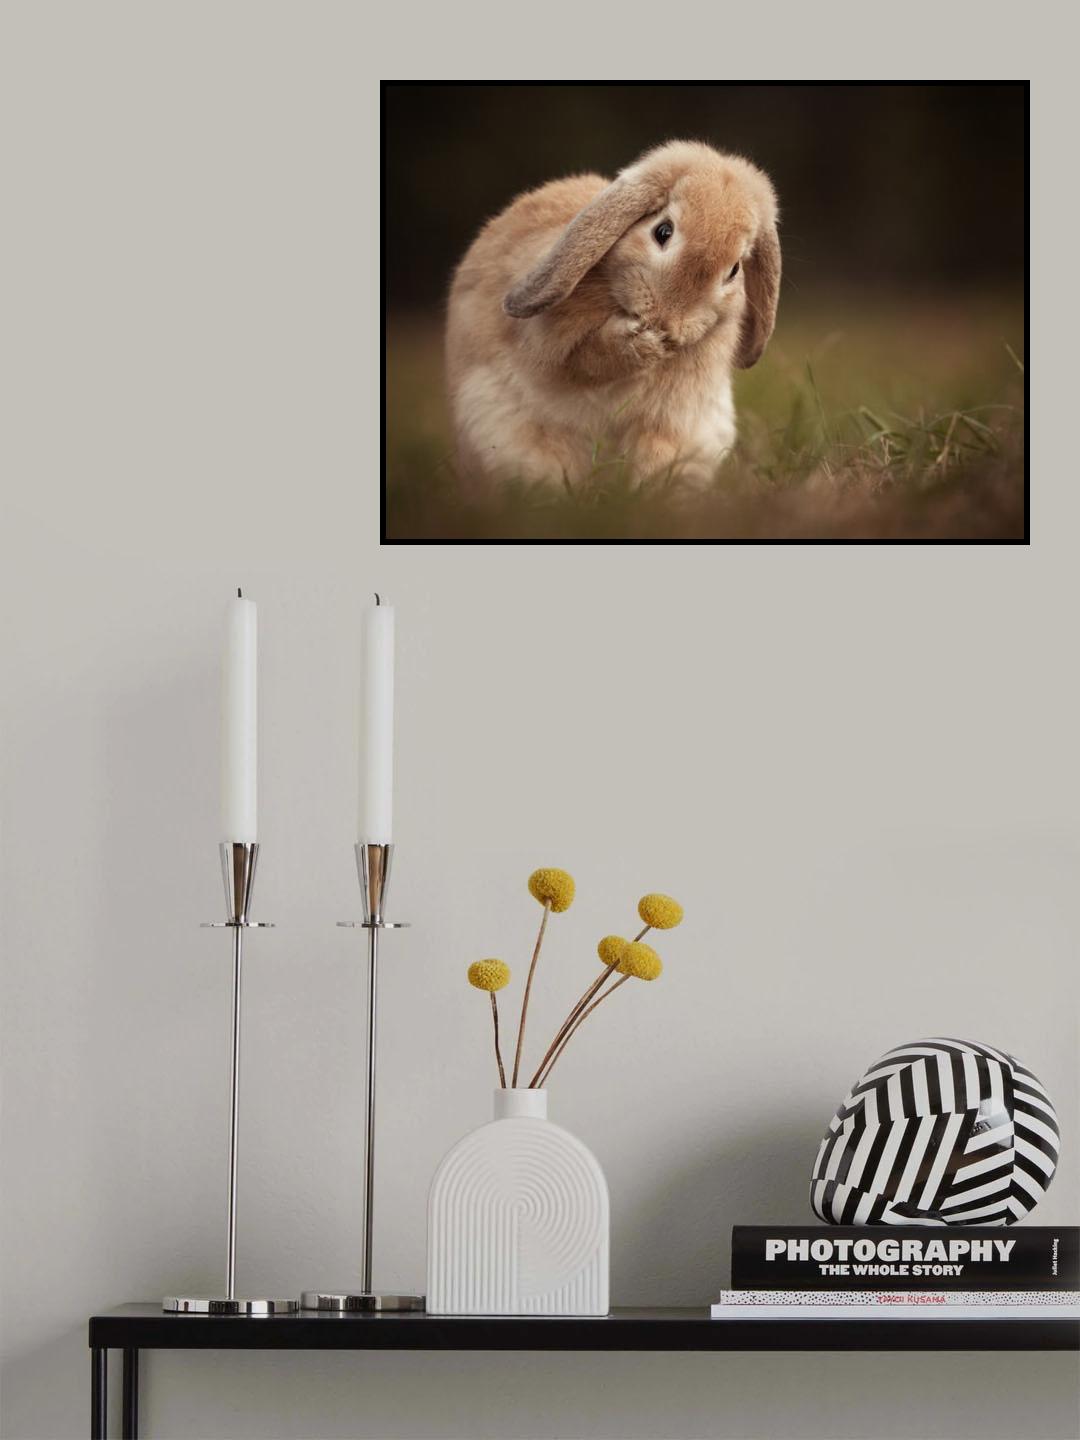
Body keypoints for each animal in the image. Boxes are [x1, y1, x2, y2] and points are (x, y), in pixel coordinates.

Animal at [445, 139, 780, 492]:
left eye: (734, 269)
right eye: (663, 231)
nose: (667, 322)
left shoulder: (668, 416)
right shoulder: (548, 342)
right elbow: (589, 359)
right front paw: (645, 344)